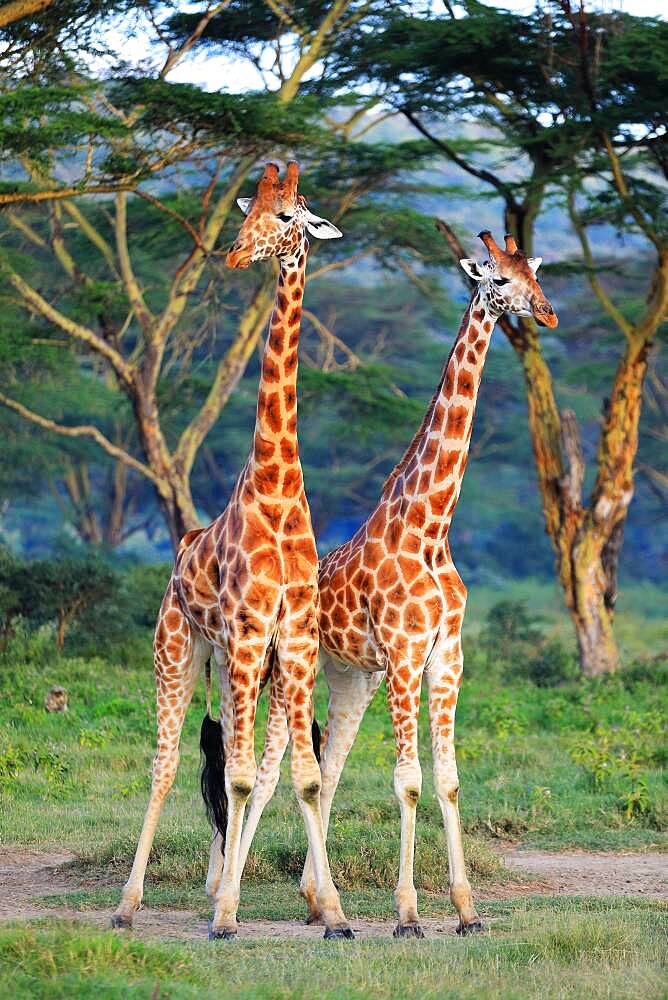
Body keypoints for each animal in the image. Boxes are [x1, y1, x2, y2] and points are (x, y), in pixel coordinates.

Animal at [111, 160, 354, 940]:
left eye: (289, 217)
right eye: (251, 211)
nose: (236, 253)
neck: (275, 489)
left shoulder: (294, 639)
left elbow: (301, 777)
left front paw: (333, 914)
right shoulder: (249, 632)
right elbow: (243, 775)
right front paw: (224, 917)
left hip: (240, 665)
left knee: (227, 765)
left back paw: (219, 888)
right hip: (180, 649)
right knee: (165, 765)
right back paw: (129, 905)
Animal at [235, 230, 560, 932]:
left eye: (535, 272)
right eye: (498, 277)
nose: (546, 313)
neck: (431, 527)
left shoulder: (446, 657)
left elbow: (447, 779)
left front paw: (466, 911)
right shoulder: (406, 657)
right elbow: (407, 781)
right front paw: (408, 912)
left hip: (349, 678)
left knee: (327, 772)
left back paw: (313, 899)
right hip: (285, 672)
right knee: (272, 772)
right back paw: (233, 896)